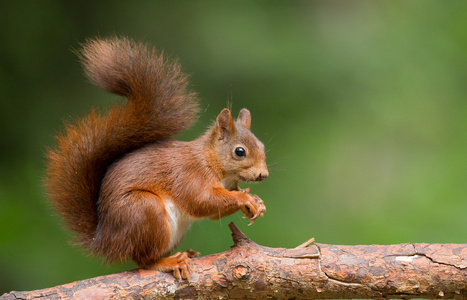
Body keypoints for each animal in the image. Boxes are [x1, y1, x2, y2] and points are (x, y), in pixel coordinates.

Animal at [46, 37, 270, 278]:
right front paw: (244, 199)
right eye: (240, 151)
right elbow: (201, 201)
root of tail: (107, 240)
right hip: (145, 210)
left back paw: (186, 253)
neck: (213, 163)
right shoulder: (190, 175)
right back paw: (170, 261)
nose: (263, 175)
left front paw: (257, 202)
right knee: (144, 259)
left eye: (262, 146)